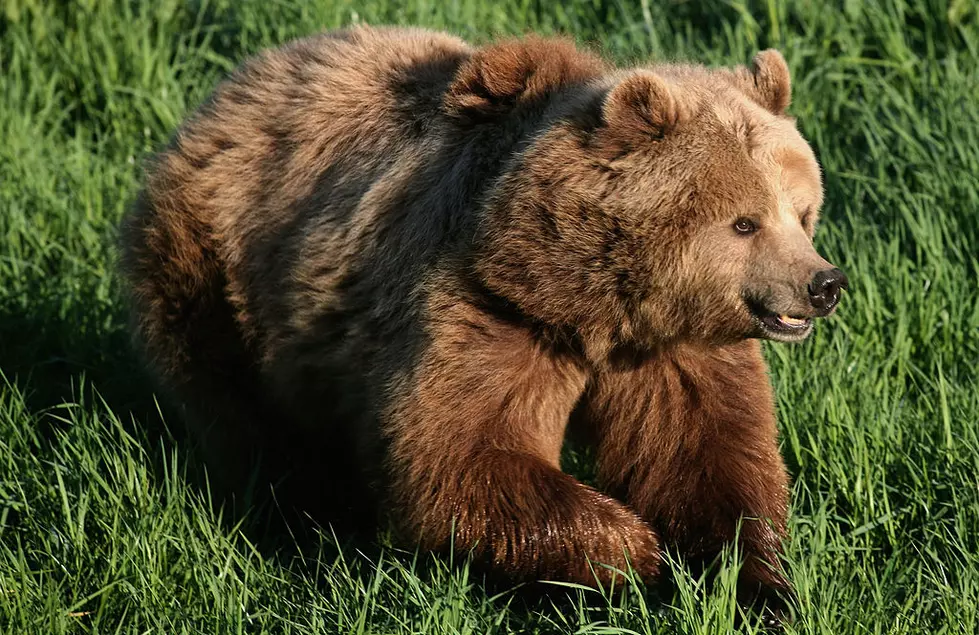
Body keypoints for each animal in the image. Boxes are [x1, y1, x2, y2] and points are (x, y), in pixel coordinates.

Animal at [118, 25, 847, 619]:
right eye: (745, 222)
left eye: (802, 210)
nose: (824, 284)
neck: (586, 300)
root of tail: (234, 83)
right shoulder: (483, 310)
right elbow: (459, 453)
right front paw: (633, 555)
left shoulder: (669, 350)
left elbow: (704, 456)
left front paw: (752, 582)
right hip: (214, 272)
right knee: (249, 416)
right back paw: (302, 519)